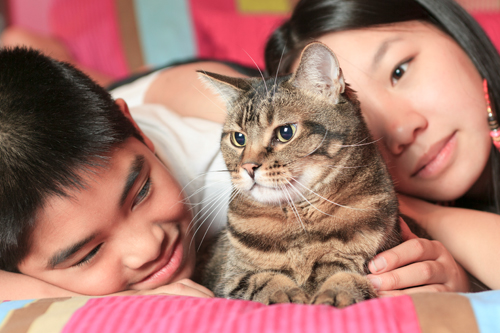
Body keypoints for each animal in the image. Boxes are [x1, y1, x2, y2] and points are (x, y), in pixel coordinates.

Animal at [193, 42, 400, 308]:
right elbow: (262, 279)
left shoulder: (370, 263)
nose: (248, 167)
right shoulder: (228, 278)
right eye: (238, 138)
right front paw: (287, 294)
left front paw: (335, 295)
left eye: (285, 132)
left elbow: (348, 277)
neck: (300, 220)